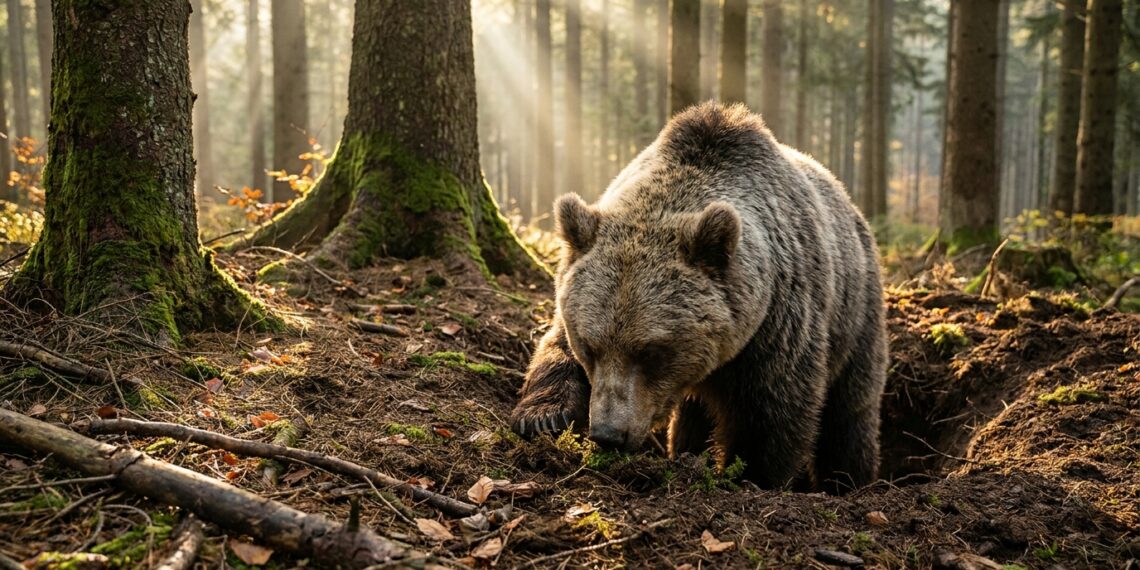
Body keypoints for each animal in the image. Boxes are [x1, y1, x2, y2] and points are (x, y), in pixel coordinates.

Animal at [510, 102, 888, 493]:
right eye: (589, 345)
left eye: (650, 351)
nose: (608, 433)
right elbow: (554, 348)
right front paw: (541, 417)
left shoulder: (779, 321)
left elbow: (774, 409)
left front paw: (751, 474)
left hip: (856, 312)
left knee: (850, 411)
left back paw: (848, 479)